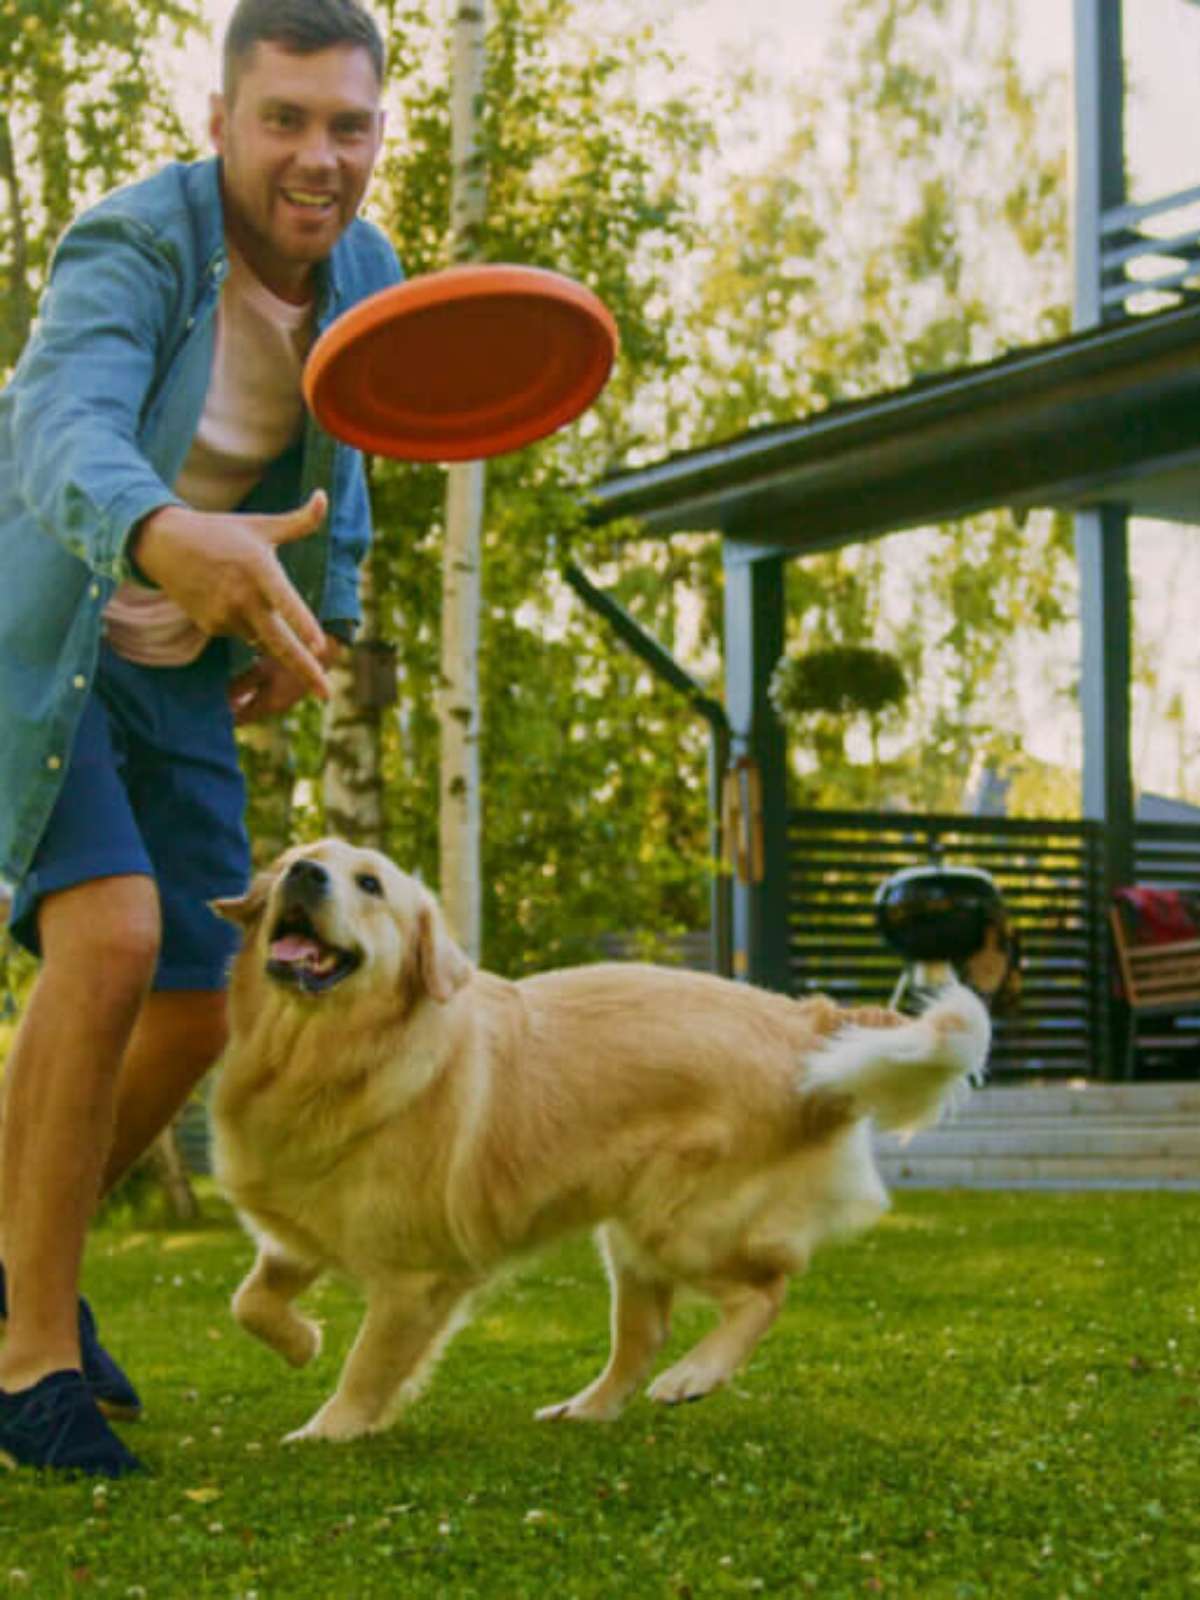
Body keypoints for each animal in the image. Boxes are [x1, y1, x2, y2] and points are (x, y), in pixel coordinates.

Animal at [209, 844, 998, 1446]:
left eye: (369, 883)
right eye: (298, 858)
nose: (305, 875)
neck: (326, 1058)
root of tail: (804, 1019)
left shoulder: (417, 1279)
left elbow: (368, 1364)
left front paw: (329, 1429)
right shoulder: (297, 1232)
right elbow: (248, 1300)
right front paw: (301, 1341)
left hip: (681, 1224)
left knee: (765, 1290)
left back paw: (695, 1375)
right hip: (631, 1236)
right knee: (643, 1338)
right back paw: (587, 1407)